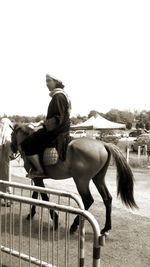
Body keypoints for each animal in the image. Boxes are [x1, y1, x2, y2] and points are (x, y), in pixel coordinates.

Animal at [9, 124, 138, 236]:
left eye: (11, 134)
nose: (11, 150)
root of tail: (103, 144)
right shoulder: (36, 178)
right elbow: (36, 195)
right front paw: (31, 215)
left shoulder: (37, 178)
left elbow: (44, 197)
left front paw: (55, 220)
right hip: (98, 179)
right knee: (107, 198)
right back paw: (106, 228)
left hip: (81, 181)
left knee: (88, 200)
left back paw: (74, 226)